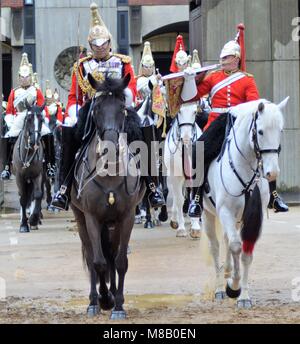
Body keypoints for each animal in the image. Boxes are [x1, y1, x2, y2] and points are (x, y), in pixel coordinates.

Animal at [12, 101, 45, 232]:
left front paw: (33, 220)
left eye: (42, 119)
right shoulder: (19, 177)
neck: (29, 152)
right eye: (29, 119)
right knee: (24, 196)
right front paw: (24, 224)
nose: (34, 141)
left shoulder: (38, 175)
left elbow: (38, 195)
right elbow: (23, 198)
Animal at [71, 74, 145, 320]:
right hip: (81, 218)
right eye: (96, 109)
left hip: (112, 223)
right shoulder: (92, 217)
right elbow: (98, 262)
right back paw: (95, 301)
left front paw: (118, 305)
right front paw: (103, 299)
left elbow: (120, 262)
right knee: (93, 255)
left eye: (122, 108)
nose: (110, 148)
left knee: (112, 254)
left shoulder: (127, 216)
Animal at [165, 101, 203, 238]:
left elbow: (193, 198)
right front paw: (181, 228)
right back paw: (175, 220)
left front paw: (195, 227)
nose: (186, 138)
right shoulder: (175, 176)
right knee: (178, 197)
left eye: (195, 111)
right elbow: (180, 200)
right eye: (179, 111)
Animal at [202, 97, 288, 310]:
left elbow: (246, 251)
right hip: (208, 214)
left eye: (281, 130)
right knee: (215, 246)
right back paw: (219, 287)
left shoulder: (253, 216)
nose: (272, 172)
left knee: (226, 239)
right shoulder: (225, 211)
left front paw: (243, 296)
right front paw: (233, 287)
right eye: (261, 131)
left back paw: (227, 272)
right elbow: (235, 246)